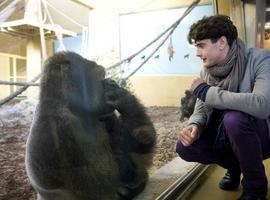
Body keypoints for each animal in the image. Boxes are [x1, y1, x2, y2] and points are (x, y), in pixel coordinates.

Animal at [25, 52, 156, 200]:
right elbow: (86, 181)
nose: (112, 82)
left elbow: (129, 150)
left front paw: (126, 101)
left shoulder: (105, 114)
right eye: (99, 76)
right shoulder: (57, 123)